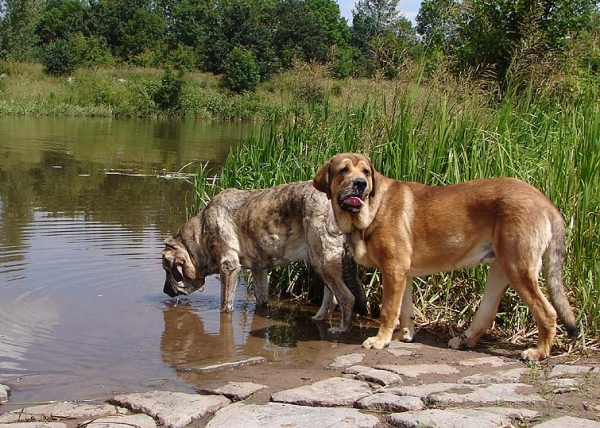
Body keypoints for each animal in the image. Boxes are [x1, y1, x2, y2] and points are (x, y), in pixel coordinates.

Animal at [162, 180, 366, 332]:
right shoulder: (259, 270)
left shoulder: (229, 267)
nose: (165, 291)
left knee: (347, 298)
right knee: (331, 297)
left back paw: (341, 329)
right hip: (321, 260)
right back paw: (319, 318)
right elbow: (261, 298)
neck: (201, 234)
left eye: (167, 270)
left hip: (323, 259)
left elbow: (225, 304)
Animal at [314, 152, 576, 360]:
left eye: (366, 172)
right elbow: (404, 310)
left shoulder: (393, 269)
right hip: (501, 269)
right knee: (487, 313)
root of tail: (546, 203)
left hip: (518, 268)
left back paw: (539, 353)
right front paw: (404, 336)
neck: (372, 209)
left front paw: (380, 340)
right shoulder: (403, 273)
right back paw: (464, 340)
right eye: (343, 170)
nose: (360, 184)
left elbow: (389, 310)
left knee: (547, 312)